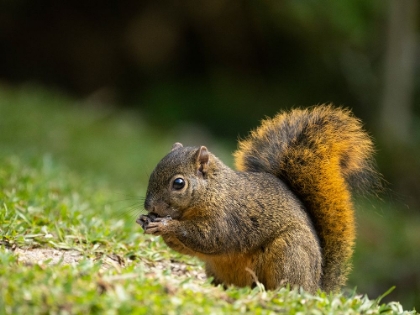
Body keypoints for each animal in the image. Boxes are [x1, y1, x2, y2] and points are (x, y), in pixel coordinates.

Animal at [137, 105, 380, 294]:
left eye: (179, 183)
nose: (150, 206)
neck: (214, 191)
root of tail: (315, 288)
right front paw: (144, 220)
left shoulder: (228, 217)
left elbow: (210, 237)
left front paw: (166, 225)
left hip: (290, 252)